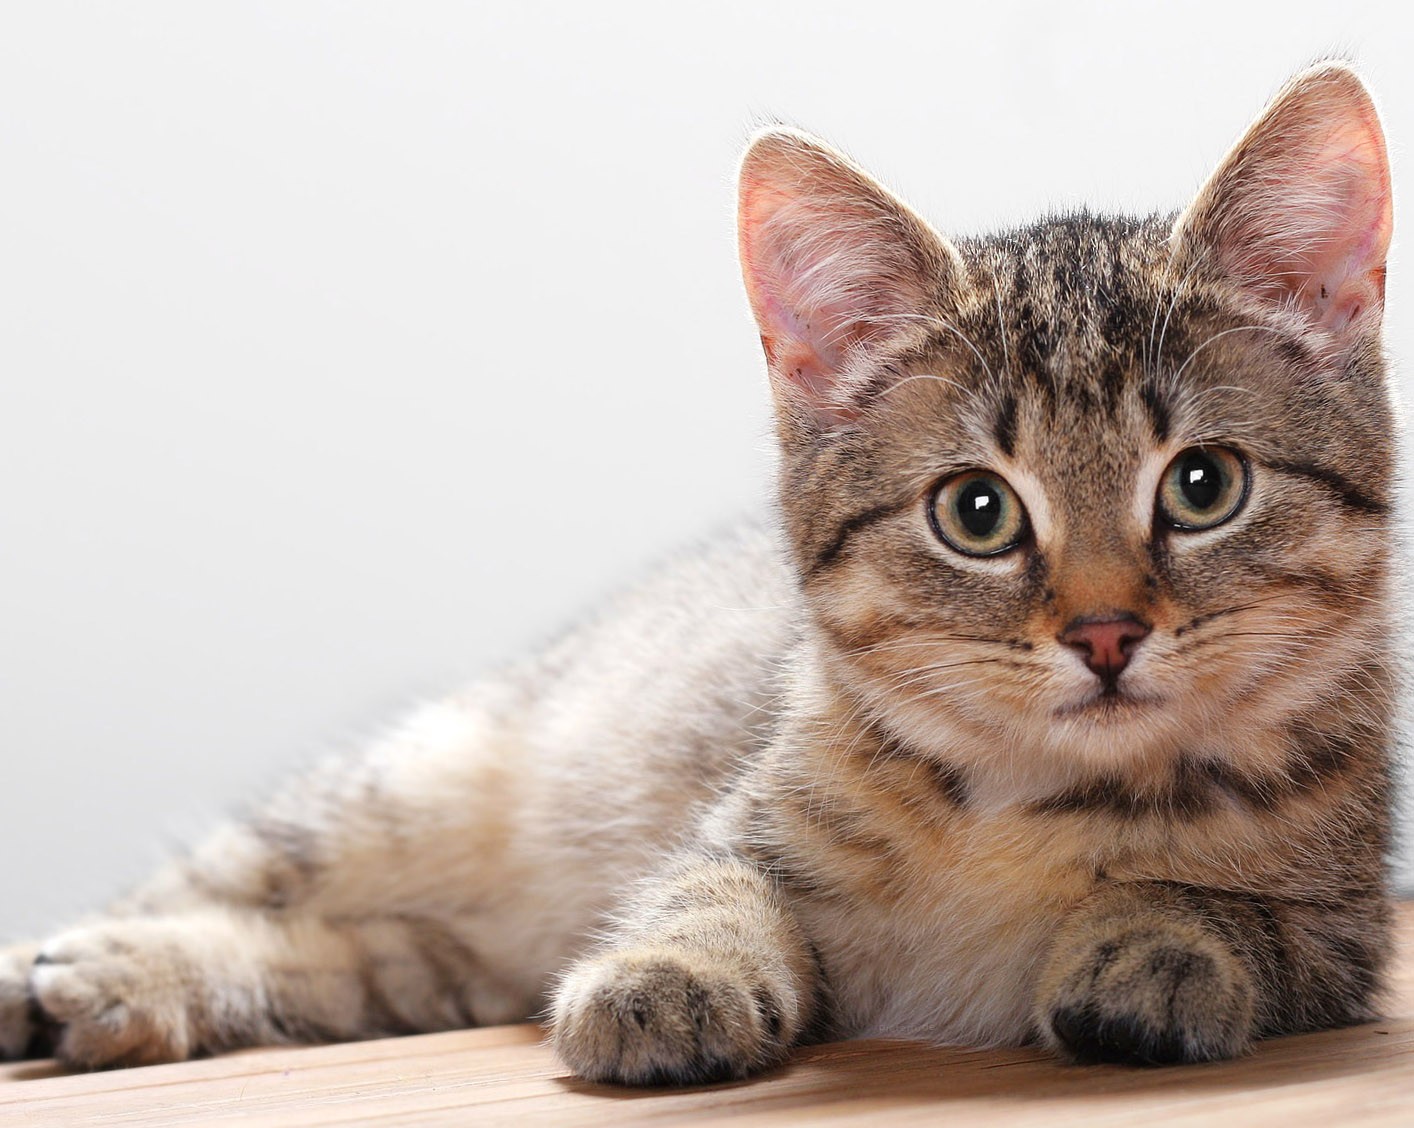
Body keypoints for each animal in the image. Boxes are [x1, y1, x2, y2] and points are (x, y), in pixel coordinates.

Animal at [0, 61, 1397, 1085]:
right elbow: (701, 888)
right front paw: (668, 975)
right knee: (233, 884)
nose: (1105, 633)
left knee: (349, 959)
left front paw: (1161, 945)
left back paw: (117, 992)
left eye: (1203, 486)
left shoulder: (1345, 937)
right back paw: (65, 970)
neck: (1040, 805)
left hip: (438, 952)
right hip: (404, 790)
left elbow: (1244, 919)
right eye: (978, 513)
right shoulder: (737, 823)